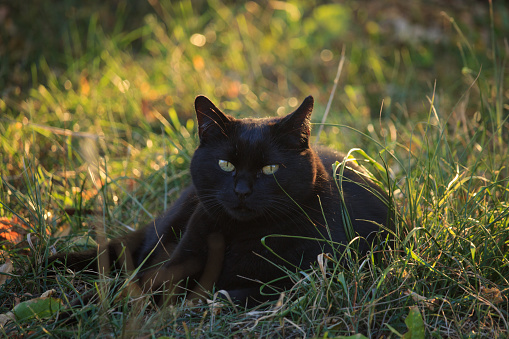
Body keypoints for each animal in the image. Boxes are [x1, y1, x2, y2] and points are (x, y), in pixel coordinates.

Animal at [51, 95, 390, 306]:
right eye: (225, 164)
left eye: (270, 168)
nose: (241, 191)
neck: (240, 236)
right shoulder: (176, 263)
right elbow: (135, 289)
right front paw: (78, 310)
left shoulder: (313, 276)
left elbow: (247, 291)